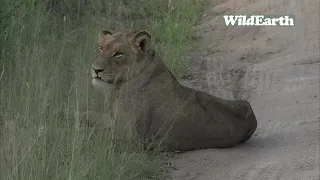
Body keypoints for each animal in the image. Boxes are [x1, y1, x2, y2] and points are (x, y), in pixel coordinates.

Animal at [90, 29, 258, 152]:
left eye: (118, 54)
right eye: (101, 48)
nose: (95, 70)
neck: (117, 87)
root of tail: (253, 118)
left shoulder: (129, 138)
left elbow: (96, 133)